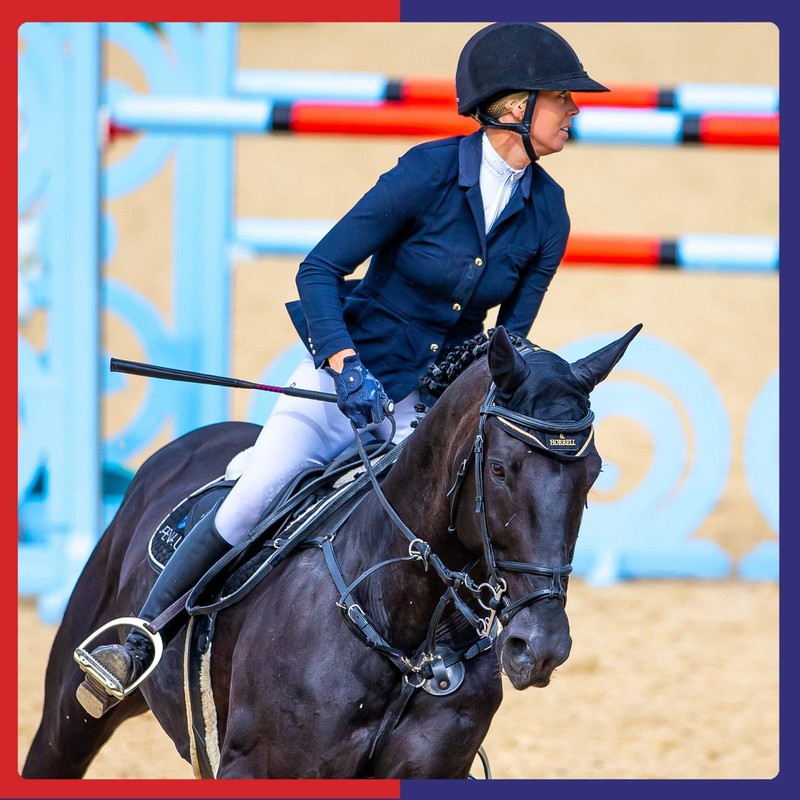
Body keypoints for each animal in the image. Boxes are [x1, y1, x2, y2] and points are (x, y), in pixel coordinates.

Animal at [22, 323, 641, 779]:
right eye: (500, 470)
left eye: (593, 473)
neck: (403, 628)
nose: (540, 647)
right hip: (73, 711)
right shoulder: (262, 767)